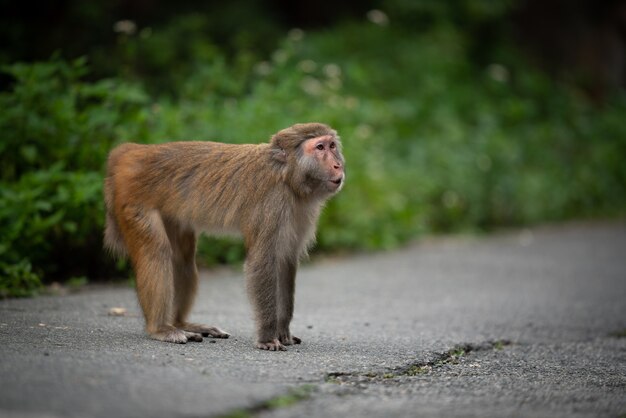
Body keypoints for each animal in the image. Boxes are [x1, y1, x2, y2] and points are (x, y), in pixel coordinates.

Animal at [104, 123, 344, 350]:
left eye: (332, 146)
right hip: (133, 201)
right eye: (320, 148)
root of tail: (133, 152)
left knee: (182, 258)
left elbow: (285, 262)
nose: (338, 165)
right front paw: (267, 337)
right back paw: (161, 328)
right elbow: (262, 262)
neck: (287, 176)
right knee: (156, 251)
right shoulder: (273, 205)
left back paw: (182, 323)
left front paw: (283, 332)